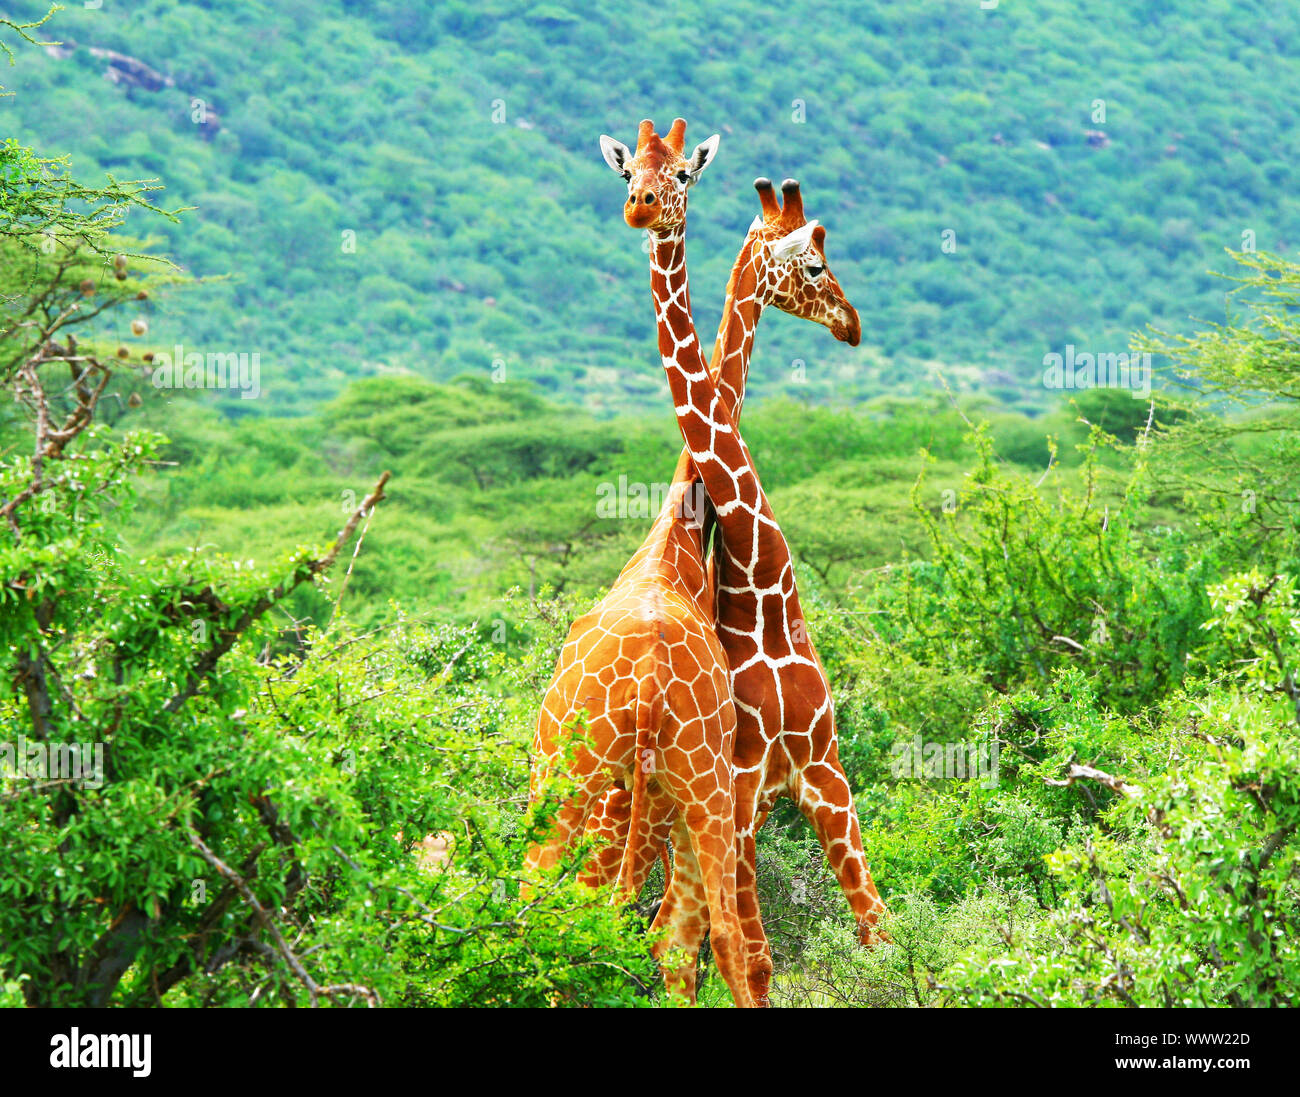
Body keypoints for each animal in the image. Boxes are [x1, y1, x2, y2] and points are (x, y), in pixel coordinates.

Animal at [522, 117, 759, 1003]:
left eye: (683, 173)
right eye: (631, 171)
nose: (642, 206)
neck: (675, 533)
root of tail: (652, 690)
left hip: (584, 782)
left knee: (555, 909)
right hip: (685, 789)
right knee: (714, 935)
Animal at [595, 122, 889, 1003]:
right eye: (817, 263)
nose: (852, 323)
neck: (763, 600)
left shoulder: (824, 767)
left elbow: (878, 929)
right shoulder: (750, 789)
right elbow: (756, 955)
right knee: (658, 928)